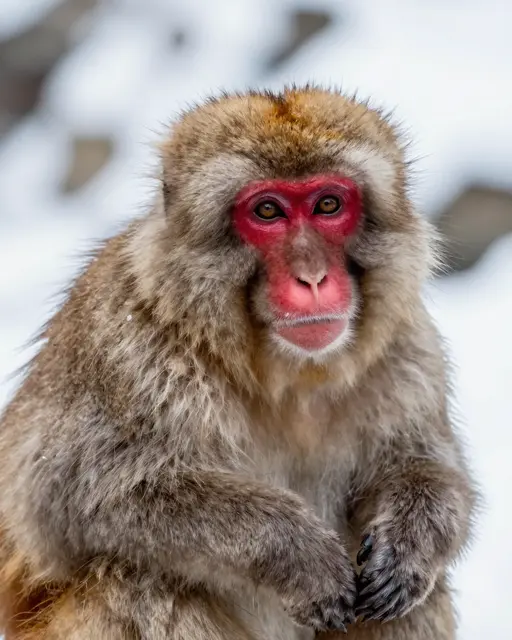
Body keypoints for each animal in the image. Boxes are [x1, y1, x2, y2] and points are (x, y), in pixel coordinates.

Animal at [0, 86, 476, 640]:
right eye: (267, 211)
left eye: (328, 205)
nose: (312, 277)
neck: (286, 373)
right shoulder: (124, 350)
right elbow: (73, 500)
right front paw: (298, 553)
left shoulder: (407, 350)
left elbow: (427, 465)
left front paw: (408, 545)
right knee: (133, 579)